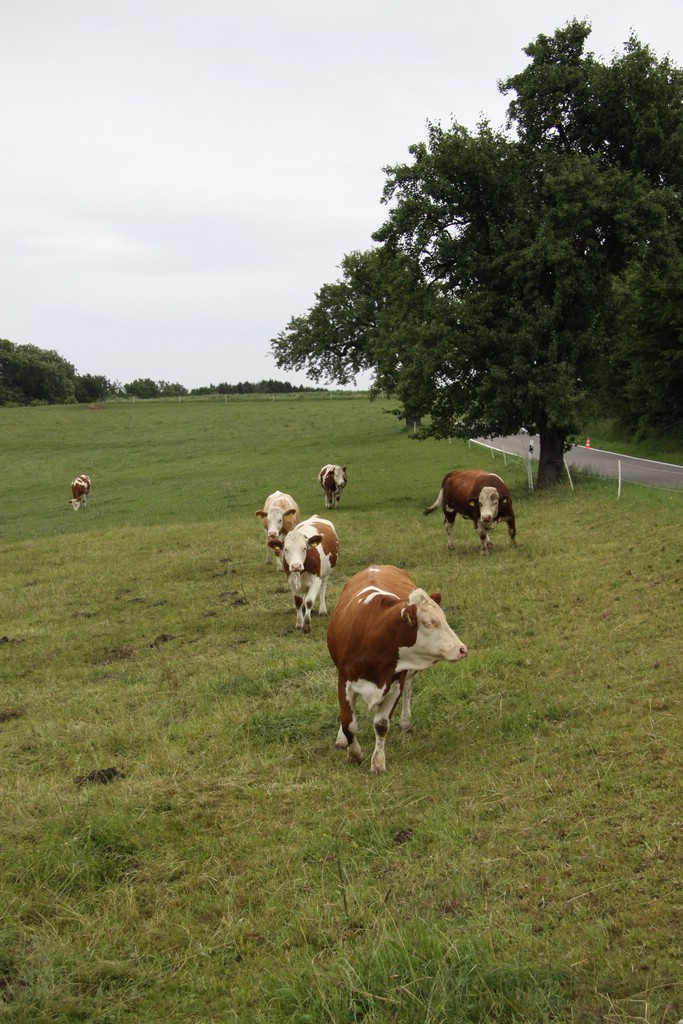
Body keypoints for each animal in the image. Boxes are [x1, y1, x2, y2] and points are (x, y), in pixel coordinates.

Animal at [328, 565, 468, 774]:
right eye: (429, 623)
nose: (462, 649)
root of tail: (376, 566)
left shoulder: (395, 685)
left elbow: (381, 725)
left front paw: (378, 763)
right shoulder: (345, 681)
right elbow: (348, 723)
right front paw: (354, 754)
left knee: (408, 690)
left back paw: (405, 721)